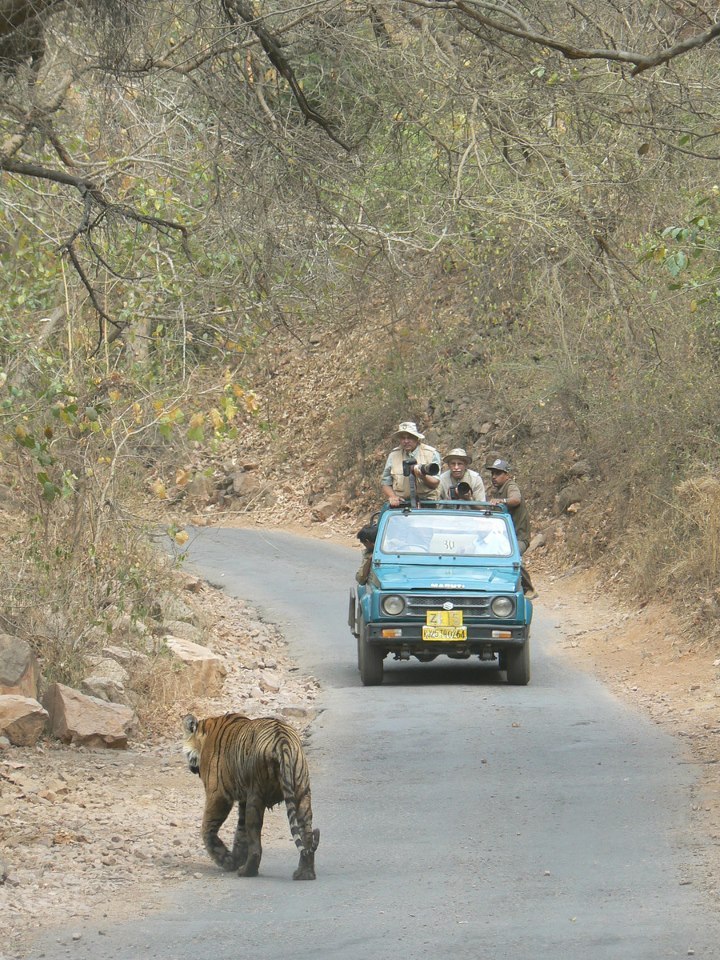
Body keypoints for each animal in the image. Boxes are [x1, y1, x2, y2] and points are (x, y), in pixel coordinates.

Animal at [181, 712, 320, 876]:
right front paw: (236, 858)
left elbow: (207, 829)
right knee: (307, 832)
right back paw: (305, 873)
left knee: (254, 837)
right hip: (301, 791)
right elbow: (240, 832)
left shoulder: (218, 794)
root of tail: (282, 740)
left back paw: (247, 871)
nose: (191, 768)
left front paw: (227, 861)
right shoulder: (243, 799)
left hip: (256, 795)